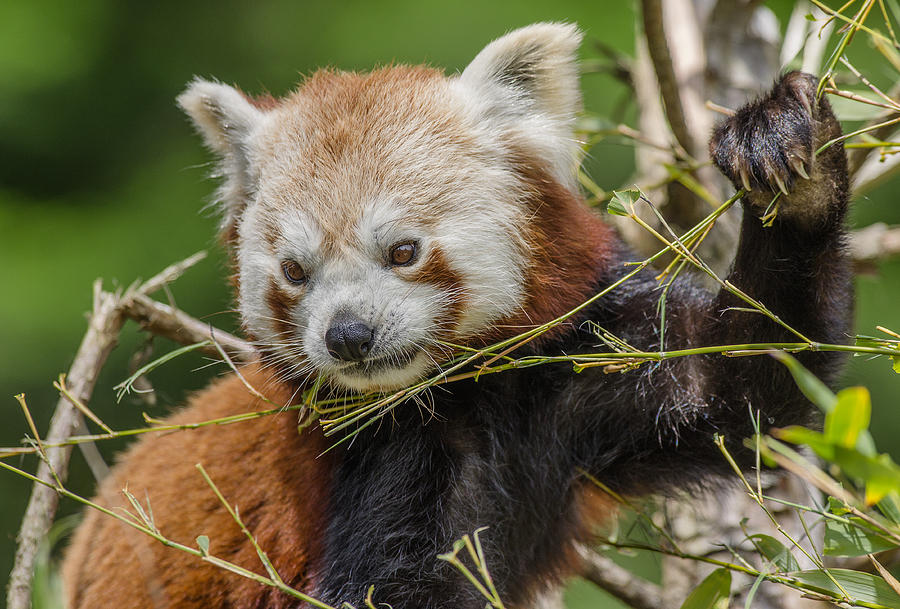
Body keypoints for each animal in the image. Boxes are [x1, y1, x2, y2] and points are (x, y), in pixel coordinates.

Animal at [61, 21, 852, 608]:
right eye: (295, 271)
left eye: (403, 251)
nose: (347, 336)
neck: (469, 394)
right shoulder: (371, 459)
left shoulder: (580, 372)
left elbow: (740, 378)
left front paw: (789, 157)